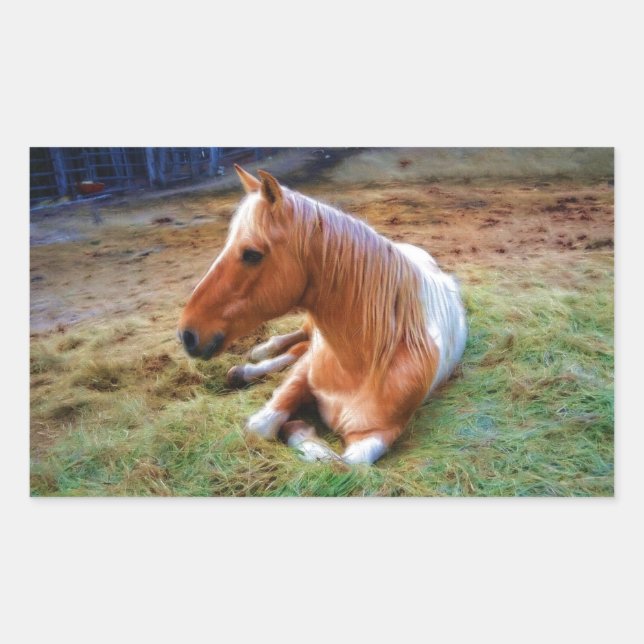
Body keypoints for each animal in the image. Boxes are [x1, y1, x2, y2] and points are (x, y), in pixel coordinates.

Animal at [178, 165, 467, 465]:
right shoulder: (302, 375)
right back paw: (258, 354)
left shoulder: (377, 434)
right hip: (309, 329)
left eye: (252, 254)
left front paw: (299, 429)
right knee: (298, 341)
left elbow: (344, 464)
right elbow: (262, 424)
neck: (360, 364)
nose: (187, 334)